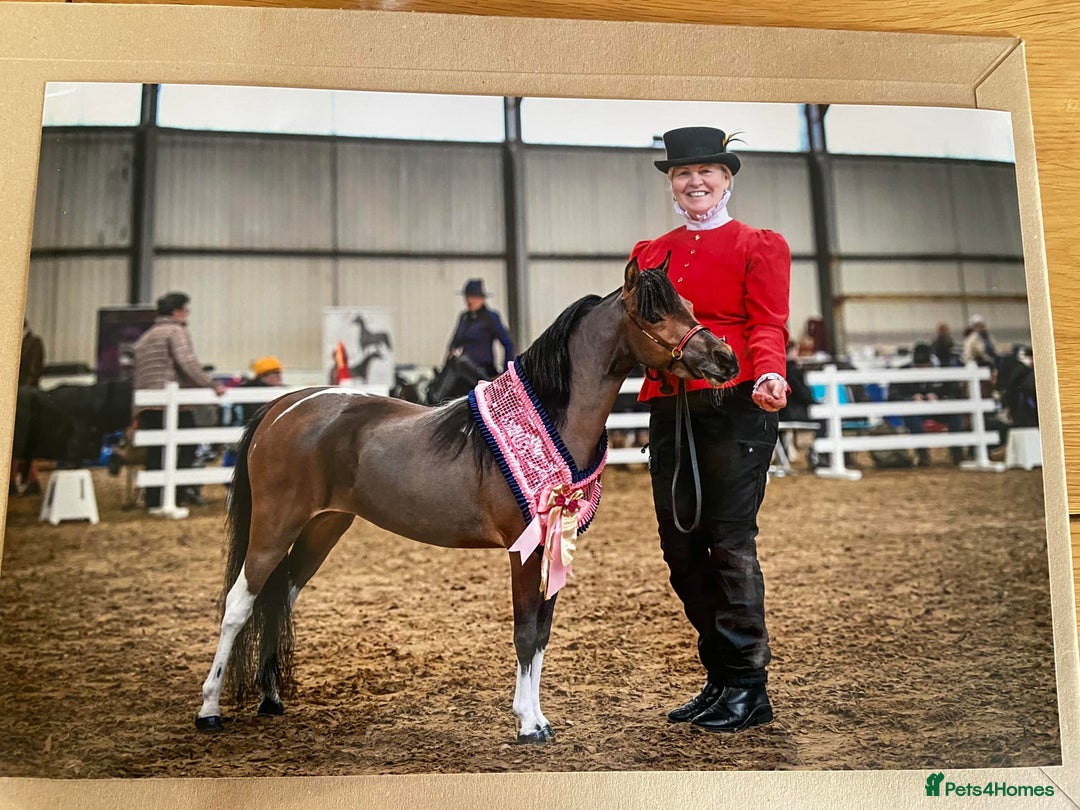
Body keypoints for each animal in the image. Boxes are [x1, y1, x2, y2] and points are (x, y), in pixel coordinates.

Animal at [194, 255, 739, 742]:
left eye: (689, 304)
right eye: (654, 315)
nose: (725, 359)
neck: (549, 420)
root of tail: (285, 405)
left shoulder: (554, 548)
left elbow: (542, 634)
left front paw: (538, 718)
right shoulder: (525, 551)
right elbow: (525, 633)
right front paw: (528, 725)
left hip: (322, 526)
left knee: (279, 597)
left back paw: (271, 699)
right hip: (275, 525)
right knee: (240, 602)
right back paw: (209, 710)